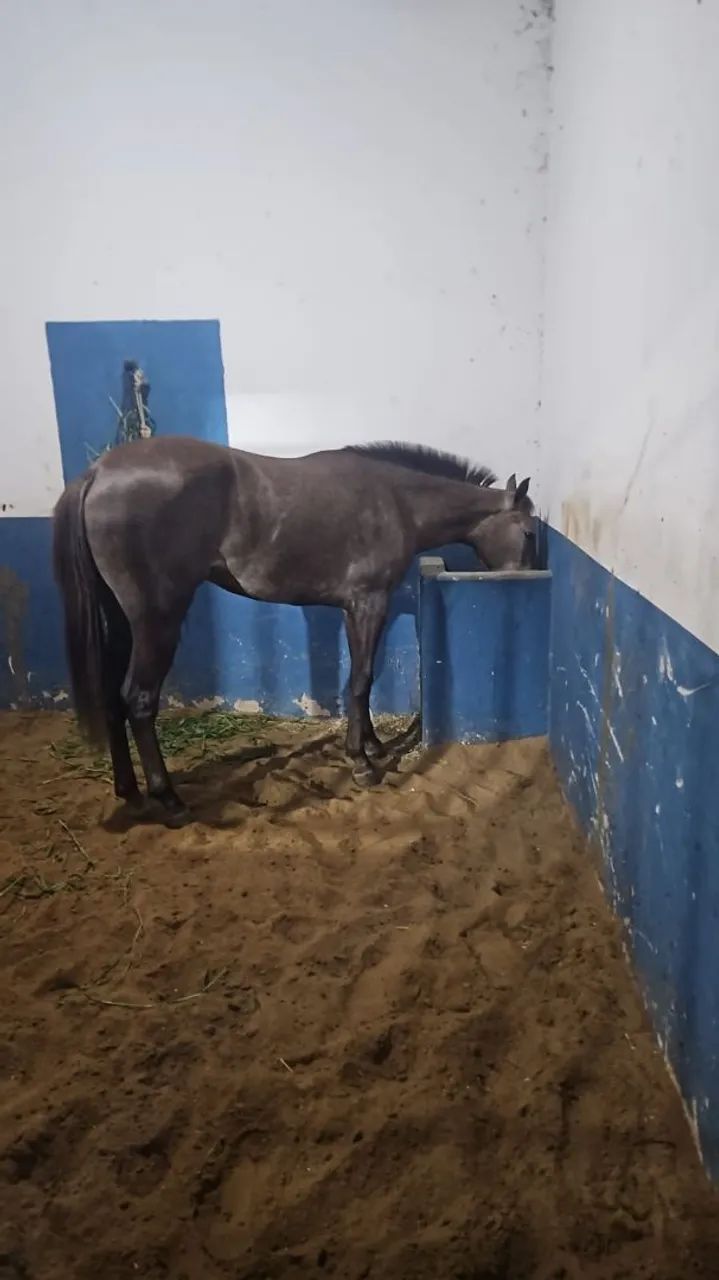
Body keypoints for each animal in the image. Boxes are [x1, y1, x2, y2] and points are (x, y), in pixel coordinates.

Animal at [52, 436, 535, 825]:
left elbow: (359, 681)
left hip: (119, 621)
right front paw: (361, 762)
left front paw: (373, 746)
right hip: (157, 621)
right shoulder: (369, 603)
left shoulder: (353, 609)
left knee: (111, 696)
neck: (396, 500)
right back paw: (169, 800)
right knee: (138, 700)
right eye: (530, 531)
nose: (527, 579)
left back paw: (130, 793)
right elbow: (361, 680)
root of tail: (99, 472)